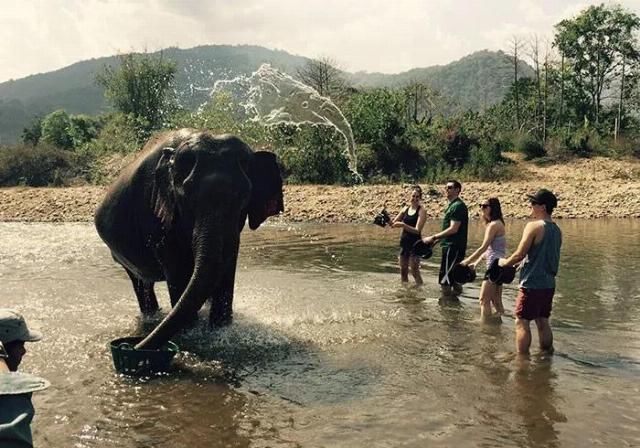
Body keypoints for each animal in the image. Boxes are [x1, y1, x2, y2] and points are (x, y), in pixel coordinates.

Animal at [94, 128, 284, 348]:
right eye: (186, 199)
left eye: (244, 197)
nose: (134, 346)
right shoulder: (156, 215)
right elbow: (176, 266)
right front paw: (191, 331)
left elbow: (227, 263)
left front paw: (221, 330)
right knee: (141, 284)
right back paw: (152, 317)